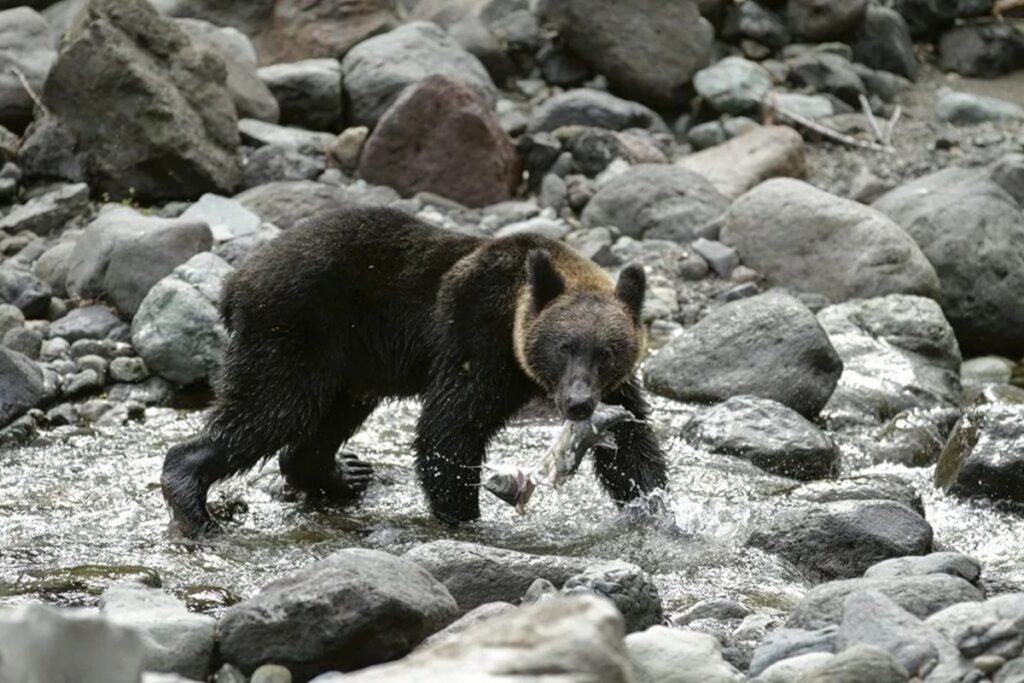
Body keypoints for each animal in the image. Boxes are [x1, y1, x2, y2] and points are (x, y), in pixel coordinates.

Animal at [161, 205, 668, 536]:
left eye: (608, 351)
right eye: (564, 347)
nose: (578, 403)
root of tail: (235, 282)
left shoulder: (615, 389)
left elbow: (632, 444)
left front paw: (654, 508)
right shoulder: (476, 338)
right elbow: (449, 429)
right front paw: (465, 516)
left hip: (349, 363)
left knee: (323, 421)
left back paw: (345, 474)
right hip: (295, 331)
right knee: (270, 410)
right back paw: (193, 502)